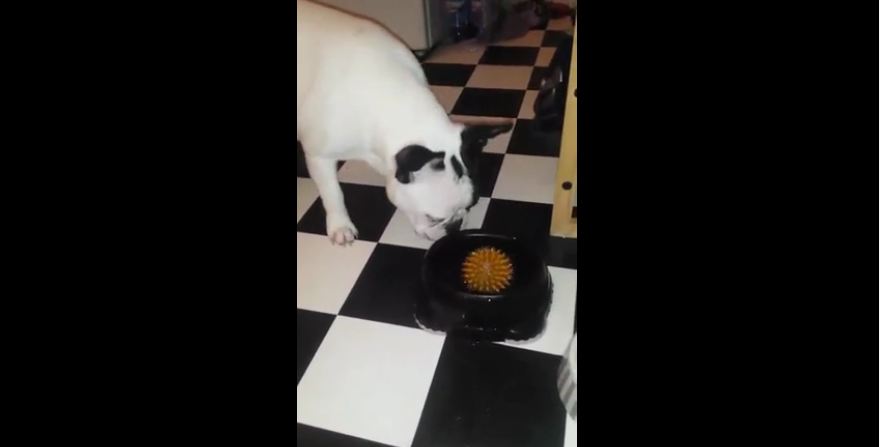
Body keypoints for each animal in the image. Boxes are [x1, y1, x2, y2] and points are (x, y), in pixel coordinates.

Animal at [300, 0, 512, 245]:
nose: (456, 225)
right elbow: (333, 193)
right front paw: (340, 226)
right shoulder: (319, 157)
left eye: (470, 206)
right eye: (433, 218)